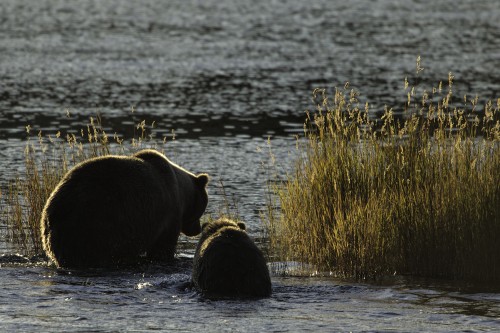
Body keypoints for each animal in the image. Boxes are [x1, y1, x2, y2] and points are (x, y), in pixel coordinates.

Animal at [40, 149, 209, 268]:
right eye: (202, 207)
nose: (198, 228)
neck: (182, 194)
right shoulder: (168, 215)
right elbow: (162, 248)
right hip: (96, 224)